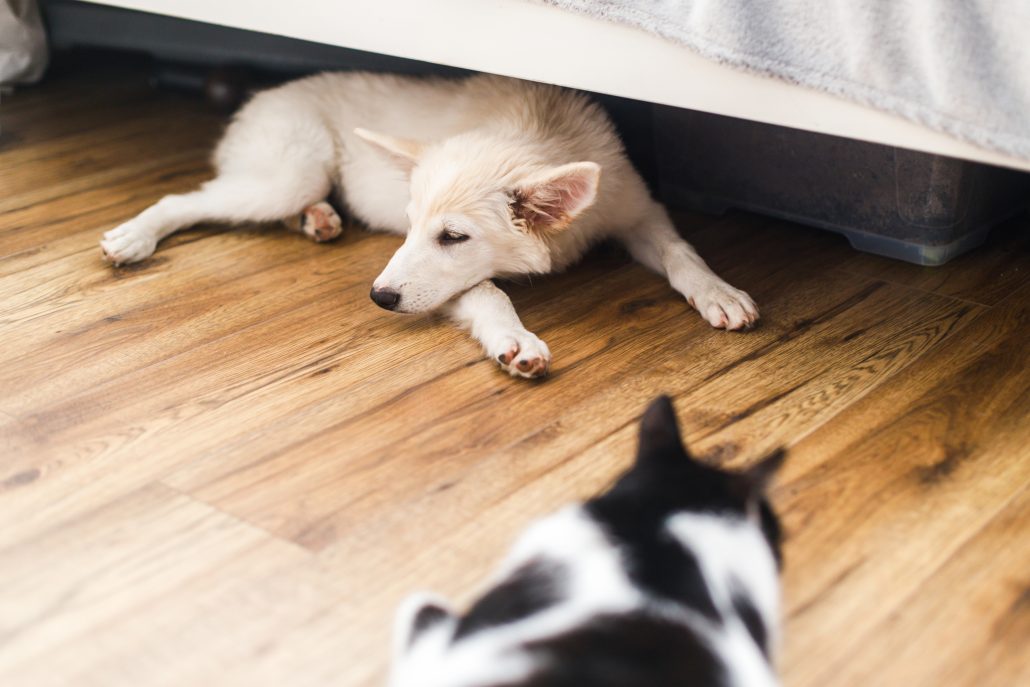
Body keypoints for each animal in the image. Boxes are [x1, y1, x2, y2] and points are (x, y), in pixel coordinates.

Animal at [102, 72, 758, 379]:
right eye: (411, 225)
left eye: (453, 236)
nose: (377, 298)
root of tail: (261, 94)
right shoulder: (444, 285)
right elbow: (491, 294)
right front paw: (514, 340)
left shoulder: (637, 210)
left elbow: (681, 253)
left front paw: (719, 292)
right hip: (288, 173)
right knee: (184, 197)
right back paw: (134, 237)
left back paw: (318, 219)